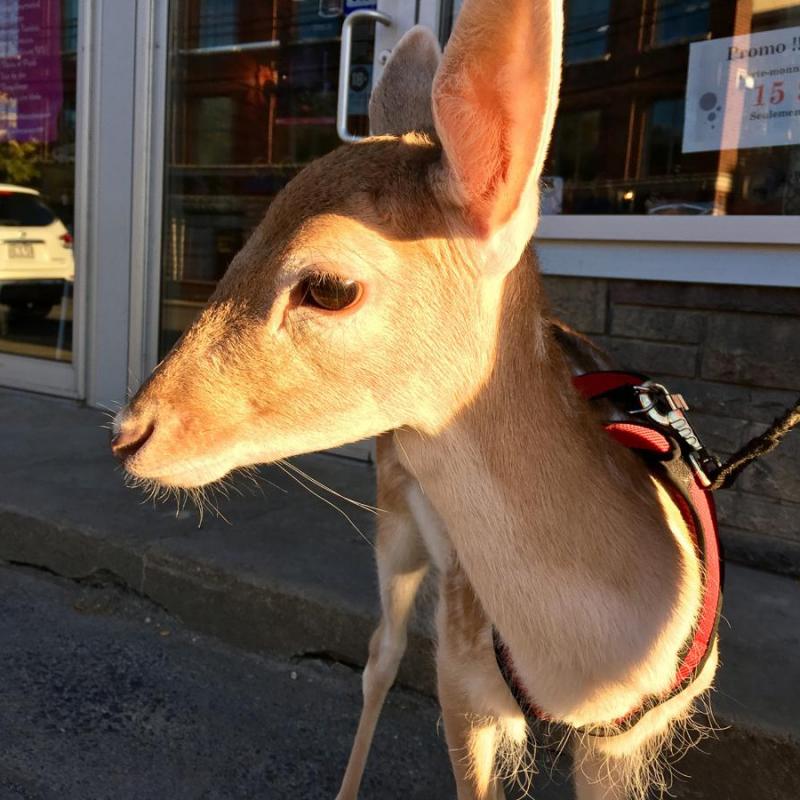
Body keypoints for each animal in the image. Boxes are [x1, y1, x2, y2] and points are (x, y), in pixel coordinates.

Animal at [111, 1, 720, 797]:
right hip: (392, 519)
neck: (586, 666)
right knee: (380, 655)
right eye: (239, 246)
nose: (130, 431)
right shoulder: (458, 674)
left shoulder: (631, 740)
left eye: (329, 286)